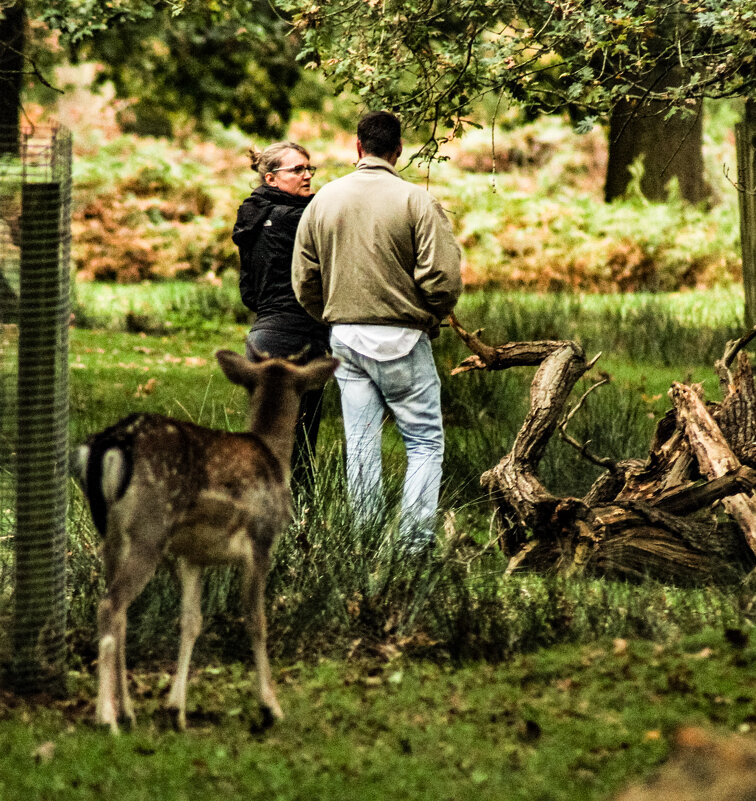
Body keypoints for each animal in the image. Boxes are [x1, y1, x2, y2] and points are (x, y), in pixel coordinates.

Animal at [72, 348, 338, 732]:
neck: (273, 457)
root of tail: (110, 444)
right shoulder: (261, 538)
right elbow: (256, 620)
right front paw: (270, 706)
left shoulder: (193, 556)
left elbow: (191, 622)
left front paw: (176, 710)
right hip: (150, 529)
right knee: (110, 606)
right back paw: (107, 718)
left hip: (112, 535)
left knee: (118, 611)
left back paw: (128, 712)